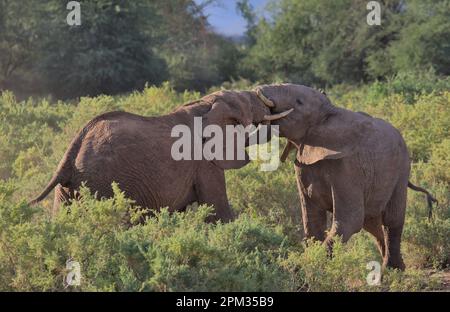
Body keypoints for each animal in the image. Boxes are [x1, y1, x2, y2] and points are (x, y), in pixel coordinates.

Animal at [30, 89, 274, 223]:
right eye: (249, 103)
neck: (205, 103)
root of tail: (72, 152)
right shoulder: (204, 164)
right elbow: (218, 211)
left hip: (67, 190)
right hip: (101, 184)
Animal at [255, 83, 438, 270]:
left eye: (299, 102)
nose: (258, 90)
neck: (329, 112)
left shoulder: (348, 167)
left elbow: (349, 220)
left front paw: (305, 266)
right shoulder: (302, 165)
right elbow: (312, 219)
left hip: (401, 169)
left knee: (391, 220)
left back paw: (393, 270)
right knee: (372, 223)